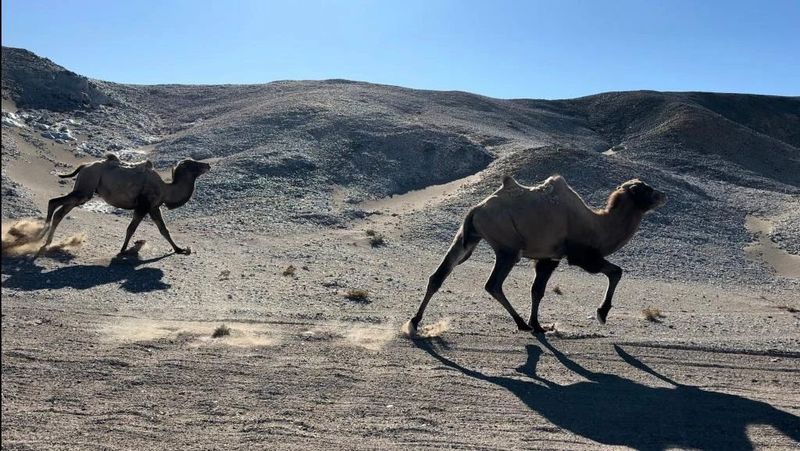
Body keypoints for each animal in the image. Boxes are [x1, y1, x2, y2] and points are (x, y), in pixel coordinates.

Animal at [41, 154, 211, 256]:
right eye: (194, 164)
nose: (208, 165)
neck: (166, 189)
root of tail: (84, 166)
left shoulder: (153, 207)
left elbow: (164, 230)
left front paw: (179, 249)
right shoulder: (143, 206)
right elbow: (131, 228)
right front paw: (122, 251)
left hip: (83, 191)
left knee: (60, 210)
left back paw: (46, 239)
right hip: (85, 189)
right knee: (54, 202)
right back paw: (43, 236)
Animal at [410, 176, 664, 336]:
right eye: (645, 189)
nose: (663, 194)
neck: (597, 225)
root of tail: (476, 209)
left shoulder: (549, 258)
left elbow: (537, 291)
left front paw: (539, 325)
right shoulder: (580, 255)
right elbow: (615, 271)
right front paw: (602, 313)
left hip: (468, 238)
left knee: (439, 275)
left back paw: (413, 322)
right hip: (508, 247)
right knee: (493, 284)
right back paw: (521, 324)